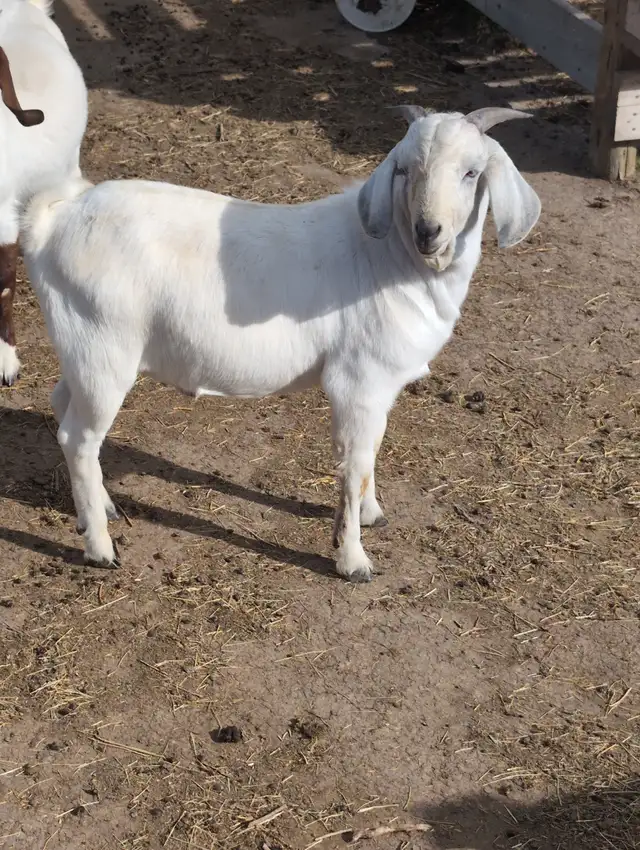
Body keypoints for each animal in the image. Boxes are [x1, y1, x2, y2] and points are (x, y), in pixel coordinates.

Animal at [21, 106, 540, 582]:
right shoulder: (358, 381)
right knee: (79, 438)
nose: (428, 232)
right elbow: (353, 465)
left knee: (61, 405)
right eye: (405, 170)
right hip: (103, 349)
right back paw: (99, 547)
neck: (391, 259)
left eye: (472, 172)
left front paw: (372, 513)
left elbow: (371, 451)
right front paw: (353, 560)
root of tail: (52, 225)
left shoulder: (381, 387)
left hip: (81, 347)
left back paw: (103, 507)